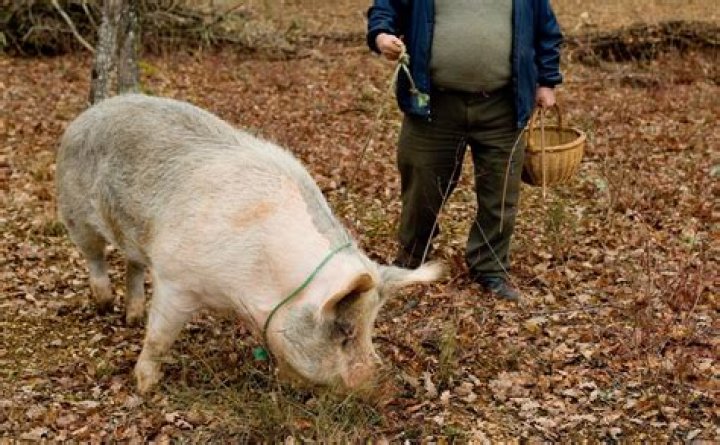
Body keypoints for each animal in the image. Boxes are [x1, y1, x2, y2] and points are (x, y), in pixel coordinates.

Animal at [56, 94, 443, 394]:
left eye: (371, 327)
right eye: (345, 331)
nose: (384, 390)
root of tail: (91, 111)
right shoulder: (177, 279)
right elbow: (159, 337)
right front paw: (145, 387)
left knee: (133, 264)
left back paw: (132, 316)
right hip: (75, 213)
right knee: (95, 257)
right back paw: (105, 304)